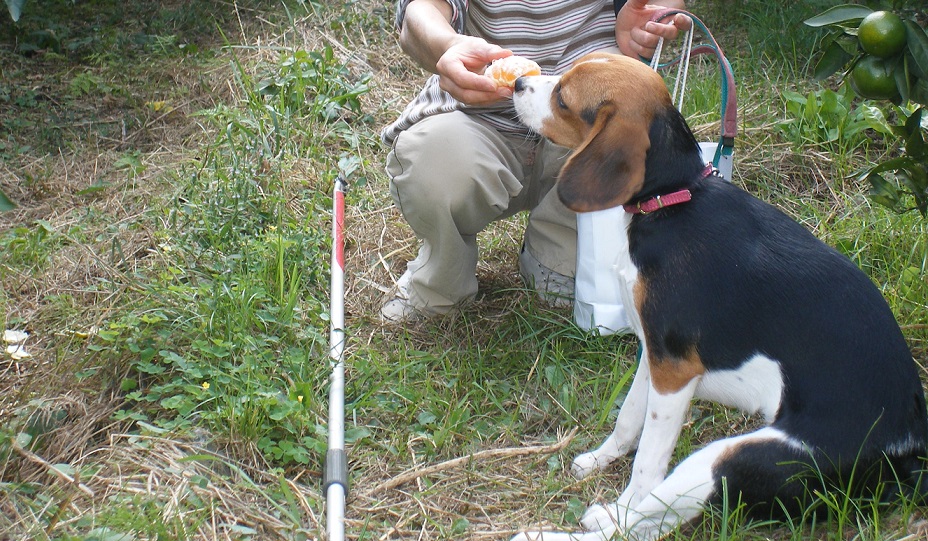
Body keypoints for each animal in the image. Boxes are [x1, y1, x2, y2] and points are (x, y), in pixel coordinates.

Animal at [512, 53, 924, 540]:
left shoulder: (674, 370)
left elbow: (647, 463)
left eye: (563, 98)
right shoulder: (655, 355)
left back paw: (572, 525)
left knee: (642, 519)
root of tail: (906, 452)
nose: (517, 83)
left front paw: (622, 491)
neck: (673, 200)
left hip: (721, 461)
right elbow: (628, 417)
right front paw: (600, 458)